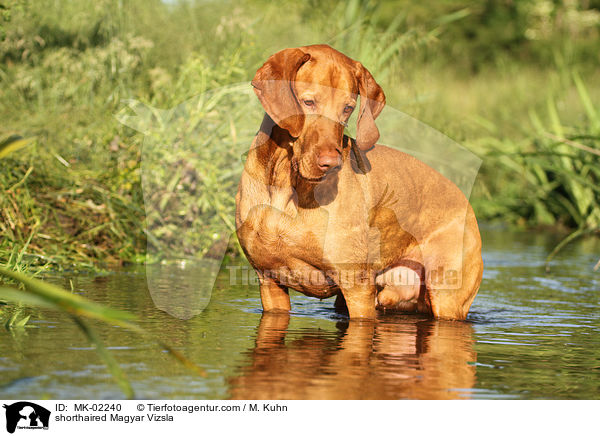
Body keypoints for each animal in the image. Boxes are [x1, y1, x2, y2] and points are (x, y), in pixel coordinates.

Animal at [236, 45, 482, 320]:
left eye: (348, 108)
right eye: (308, 102)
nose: (331, 163)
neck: (285, 182)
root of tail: (466, 200)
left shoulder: (357, 288)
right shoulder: (269, 283)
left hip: (446, 297)